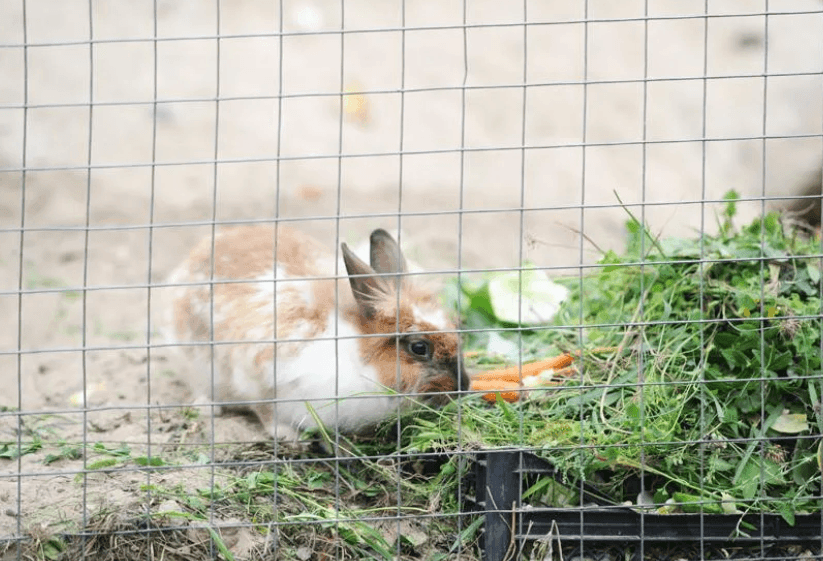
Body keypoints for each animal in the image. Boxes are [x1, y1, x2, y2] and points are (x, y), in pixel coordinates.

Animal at [163, 225, 466, 440]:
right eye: (419, 348)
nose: (463, 386)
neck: (355, 357)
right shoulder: (256, 373)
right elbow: (266, 411)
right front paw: (287, 436)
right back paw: (208, 408)